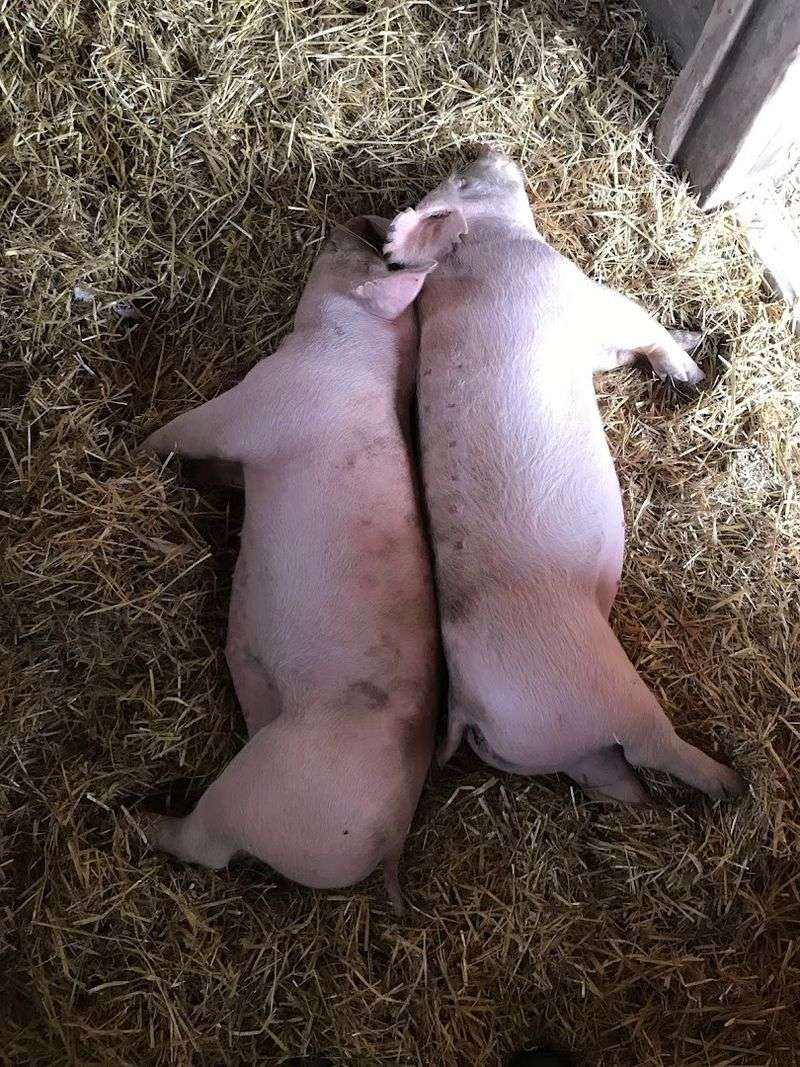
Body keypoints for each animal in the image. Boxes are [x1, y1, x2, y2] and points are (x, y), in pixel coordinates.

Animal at [140, 216, 439, 907]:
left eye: (372, 260)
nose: (354, 223)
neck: (357, 351)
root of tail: (391, 840)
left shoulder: (255, 403)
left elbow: (177, 435)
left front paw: (134, 450)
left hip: (270, 785)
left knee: (207, 844)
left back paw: (137, 813)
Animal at [383, 148, 745, 803]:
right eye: (465, 182)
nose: (488, 147)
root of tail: (468, 707)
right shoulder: (579, 293)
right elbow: (642, 327)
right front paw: (691, 371)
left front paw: (693, 337)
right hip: (602, 687)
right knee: (652, 747)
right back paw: (735, 781)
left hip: (553, 749)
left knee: (610, 776)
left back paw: (650, 799)